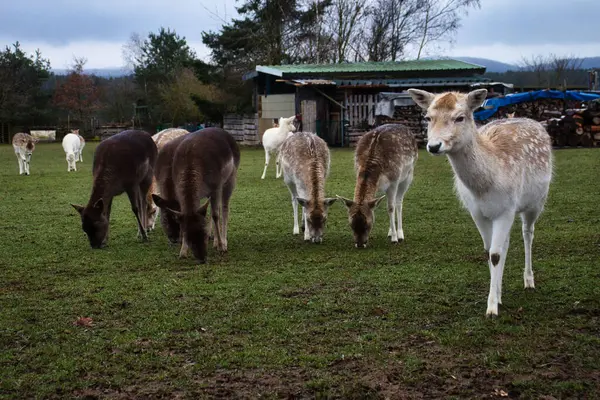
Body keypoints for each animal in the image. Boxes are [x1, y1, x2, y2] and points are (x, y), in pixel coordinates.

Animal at [152, 128, 241, 264]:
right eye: (165, 218)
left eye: (203, 233)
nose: (202, 258)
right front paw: (183, 252)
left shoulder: (216, 186)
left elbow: (215, 215)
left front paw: (221, 246)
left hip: (230, 178)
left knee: (224, 208)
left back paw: (222, 243)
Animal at [408, 89, 552, 318]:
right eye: (428, 117)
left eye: (460, 117)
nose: (433, 146)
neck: (485, 187)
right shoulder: (476, 212)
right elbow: (489, 252)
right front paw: (496, 298)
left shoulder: (507, 208)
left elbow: (495, 254)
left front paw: (491, 309)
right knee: (506, 243)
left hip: (537, 201)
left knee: (528, 233)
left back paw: (529, 281)